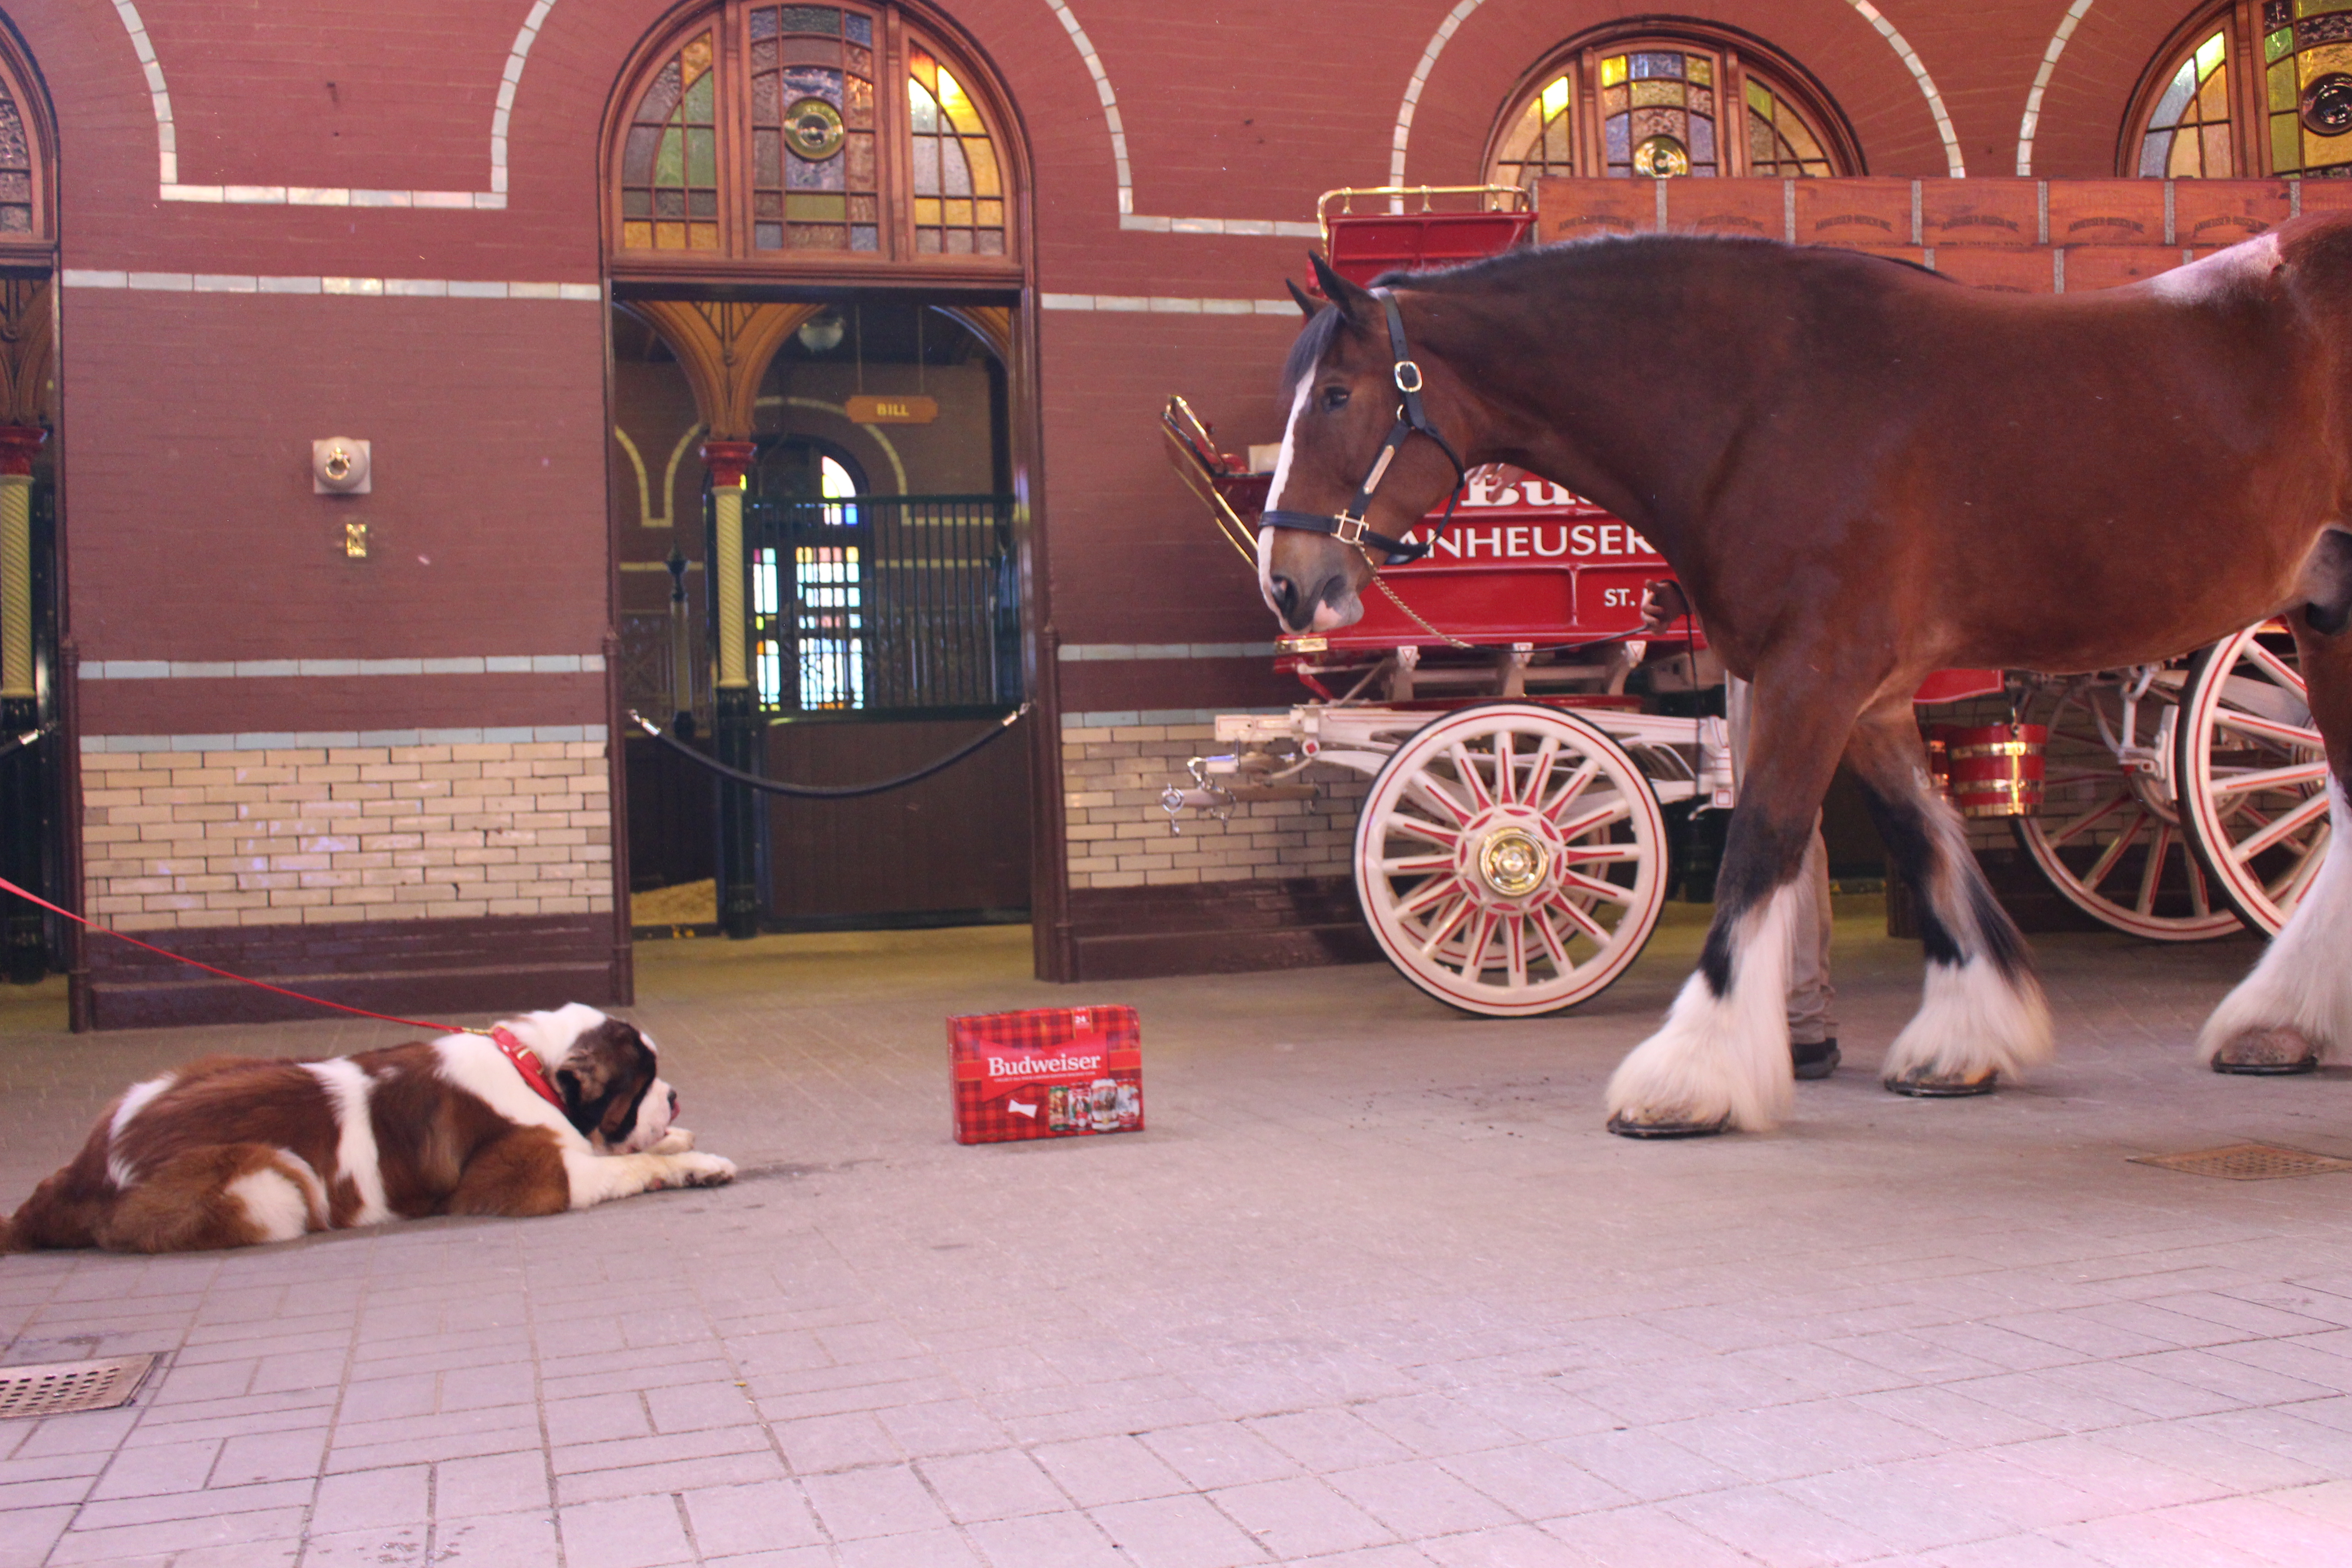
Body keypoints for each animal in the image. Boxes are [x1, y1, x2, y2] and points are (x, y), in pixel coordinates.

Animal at [0, 1006, 734, 1260]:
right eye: (642, 1081)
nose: (673, 1097)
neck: (531, 1068)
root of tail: (81, 1171)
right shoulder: (528, 1177)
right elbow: (619, 1165)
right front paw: (681, 1159)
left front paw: (686, 1147)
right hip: (272, 1177)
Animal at [1270, 217, 2352, 1128]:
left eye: (1336, 395)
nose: (1287, 583)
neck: (1763, 402)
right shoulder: (1867, 696)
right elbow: (1925, 840)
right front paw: (1965, 1035)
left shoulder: (1813, 675)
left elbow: (1761, 846)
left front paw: (1691, 1072)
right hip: (2328, 615)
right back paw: (2284, 1022)